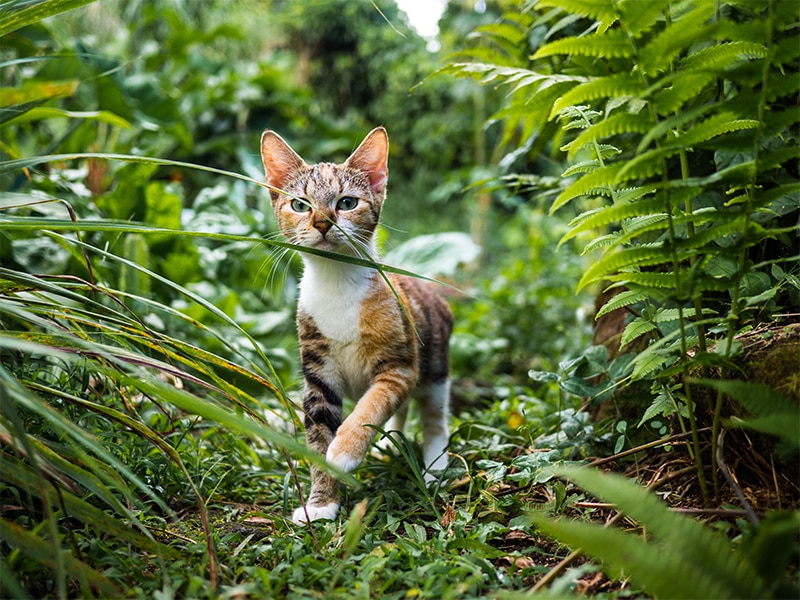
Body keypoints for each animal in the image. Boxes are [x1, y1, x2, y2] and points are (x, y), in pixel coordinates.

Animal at [260, 127, 454, 524]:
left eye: (347, 202)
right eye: (300, 205)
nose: (322, 222)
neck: (337, 283)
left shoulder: (400, 364)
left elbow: (373, 404)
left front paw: (345, 450)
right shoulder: (318, 374)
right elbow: (318, 432)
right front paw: (322, 502)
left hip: (436, 363)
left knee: (433, 414)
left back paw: (435, 466)